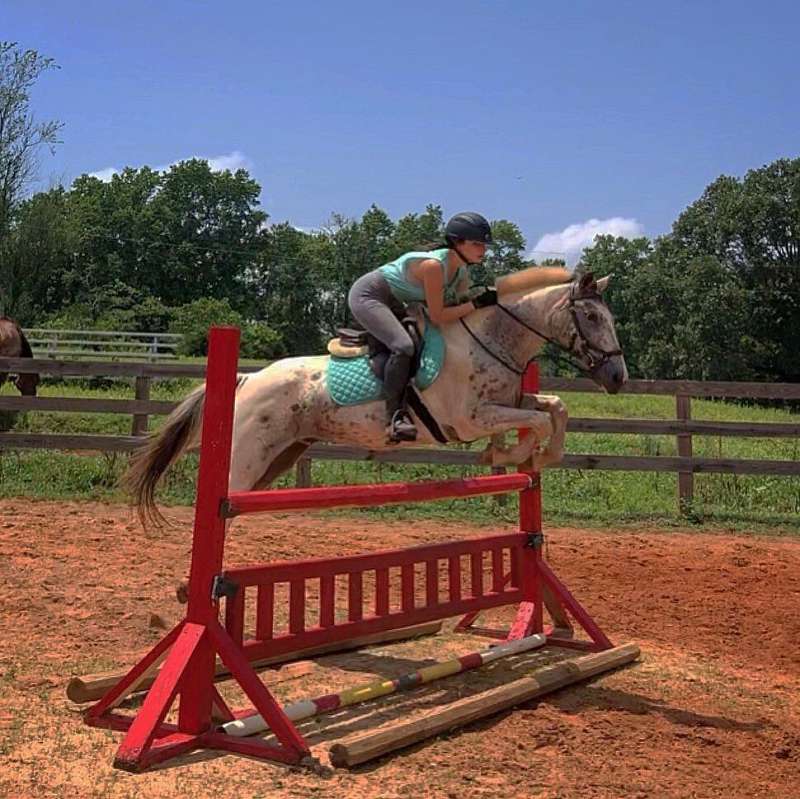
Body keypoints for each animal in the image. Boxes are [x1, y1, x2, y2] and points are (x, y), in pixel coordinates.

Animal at [125, 272, 627, 528]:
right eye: (590, 316)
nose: (618, 377)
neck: (489, 339)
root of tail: (246, 379)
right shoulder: (471, 418)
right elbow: (536, 422)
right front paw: (511, 453)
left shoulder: (513, 400)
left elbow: (555, 408)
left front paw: (526, 455)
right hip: (249, 459)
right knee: (223, 505)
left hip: (280, 458)